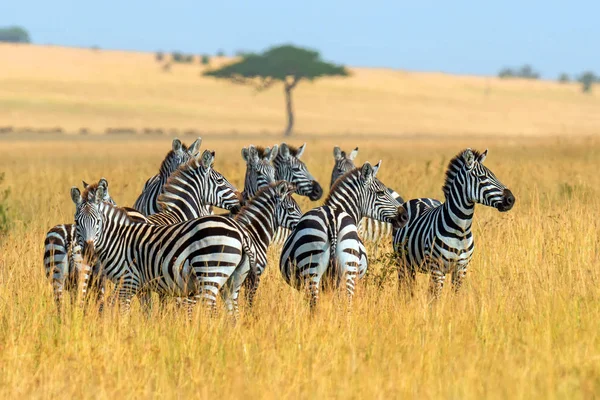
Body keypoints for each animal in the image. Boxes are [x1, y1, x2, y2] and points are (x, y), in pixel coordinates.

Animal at [72, 181, 300, 318]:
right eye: (77, 221)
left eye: (98, 221)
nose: (88, 252)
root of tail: (240, 233)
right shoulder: (136, 285)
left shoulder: (129, 281)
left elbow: (123, 311)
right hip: (229, 281)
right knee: (229, 313)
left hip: (212, 274)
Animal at [280, 161, 408, 310]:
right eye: (380, 193)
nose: (405, 216)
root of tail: (332, 219)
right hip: (344, 266)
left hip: (316, 267)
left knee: (317, 305)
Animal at [394, 148, 516, 298]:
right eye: (482, 178)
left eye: (494, 175)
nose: (511, 199)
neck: (461, 229)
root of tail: (419, 199)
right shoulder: (438, 269)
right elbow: (435, 298)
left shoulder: (461, 269)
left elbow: (455, 297)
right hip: (403, 263)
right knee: (404, 289)